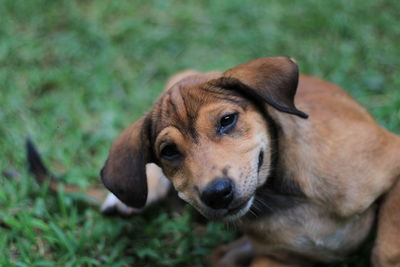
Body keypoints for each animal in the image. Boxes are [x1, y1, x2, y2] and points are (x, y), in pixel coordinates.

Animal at [28, 57, 400, 266]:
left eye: (227, 120)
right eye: (168, 152)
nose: (217, 194)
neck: (282, 197)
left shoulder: (394, 157)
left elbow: (386, 248)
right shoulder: (275, 258)